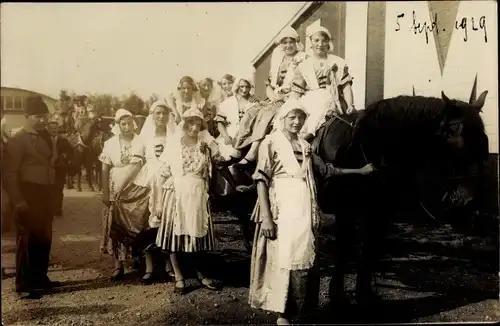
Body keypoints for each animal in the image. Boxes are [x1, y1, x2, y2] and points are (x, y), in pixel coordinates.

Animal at [314, 90, 490, 306]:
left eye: (484, 144)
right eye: (452, 138)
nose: (470, 205)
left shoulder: (382, 211)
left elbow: (371, 246)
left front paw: (365, 292)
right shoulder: (345, 209)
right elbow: (344, 246)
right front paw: (337, 294)